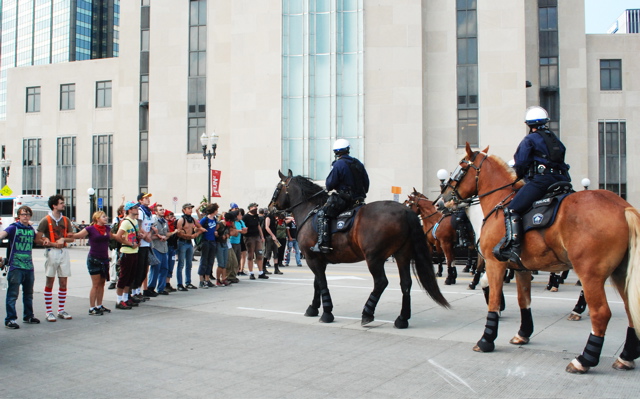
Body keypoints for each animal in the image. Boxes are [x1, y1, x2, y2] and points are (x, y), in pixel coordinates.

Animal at [270, 170, 450, 330]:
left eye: (277, 188)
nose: (270, 209)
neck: (310, 210)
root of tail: (405, 212)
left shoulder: (311, 258)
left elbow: (321, 283)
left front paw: (327, 313)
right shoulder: (317, 259)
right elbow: (317, 283)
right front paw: (313, 308)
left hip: (374, 258)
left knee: (381, 282)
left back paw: (367, 314)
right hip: (402, 255)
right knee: (405, 283)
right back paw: (402, 318)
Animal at [440, 144, 640, 376]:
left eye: (461, 168)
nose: (443, 200)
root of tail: (623, 206)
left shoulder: (495, 263)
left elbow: (494, 299)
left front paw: (486, 339)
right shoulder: (521, 268)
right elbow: (523, 300)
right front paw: (523, 333)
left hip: (589, 272)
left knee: (601, 313)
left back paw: (584, 359)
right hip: (621, 273)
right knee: (631, 308)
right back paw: (626, 356)